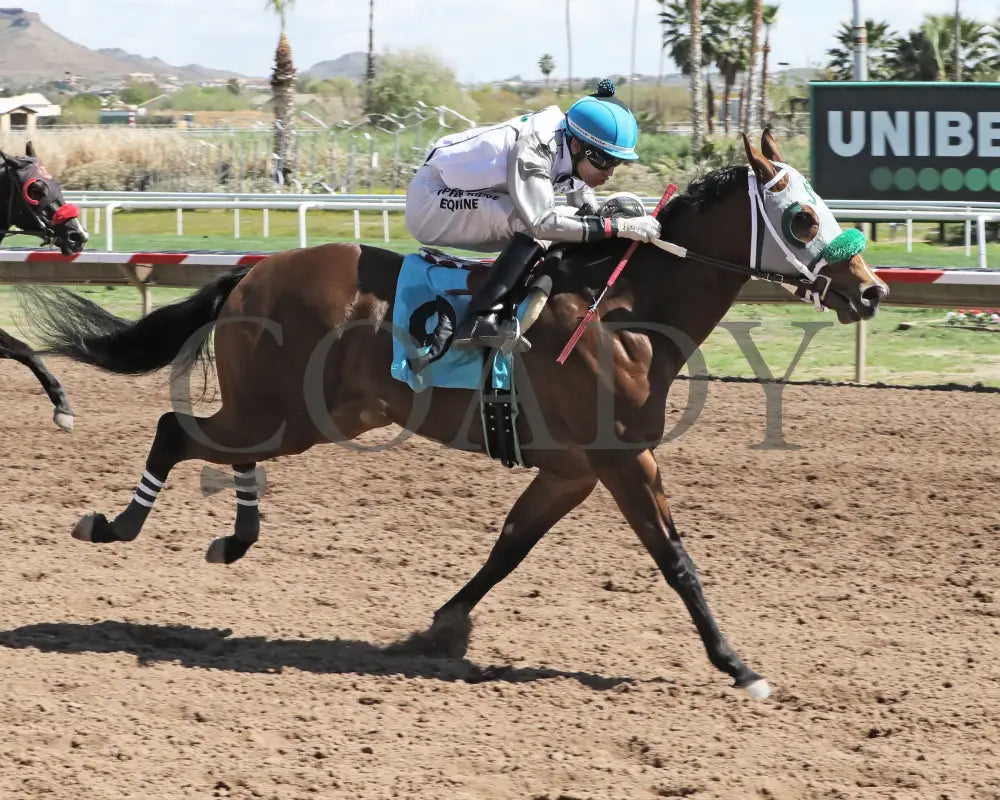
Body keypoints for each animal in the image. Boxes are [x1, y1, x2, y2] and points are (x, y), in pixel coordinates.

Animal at [21, 131, 884, 692]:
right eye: (804, 218)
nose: (872, 290)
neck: (630, 311)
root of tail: (251, 273)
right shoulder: (621, 460)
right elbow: (676, 560)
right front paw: (738, 666)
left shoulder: (572, 472)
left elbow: (509, 548)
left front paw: (438, 627)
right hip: (288, 409)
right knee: (176, 432)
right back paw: (115, 525)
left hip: (311, 415)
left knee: (232, 450)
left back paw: (235, 538)